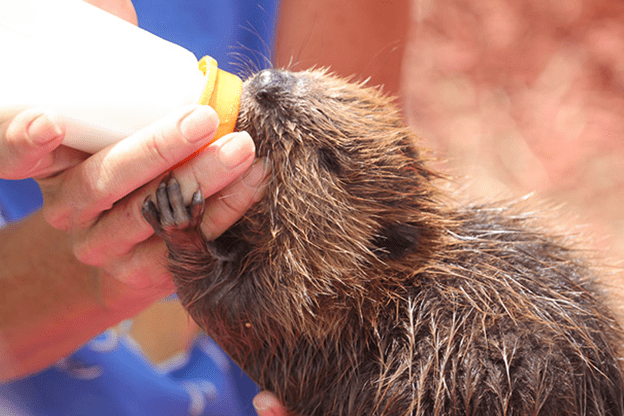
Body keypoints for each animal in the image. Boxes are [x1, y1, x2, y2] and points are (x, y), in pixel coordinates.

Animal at [143, 70, 624, 414]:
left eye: (329, 159)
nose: (271, 83)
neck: (388, 295)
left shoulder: (303, 326)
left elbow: (224, 309)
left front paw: (176, 215)